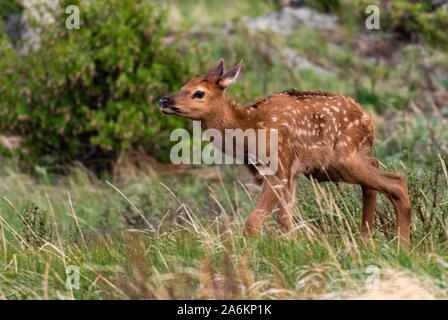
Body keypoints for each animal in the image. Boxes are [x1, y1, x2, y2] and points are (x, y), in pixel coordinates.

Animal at [159, 60, 412, 244]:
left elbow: (253, 222)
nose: (163, 100)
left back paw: (402, 246)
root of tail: (369, 122)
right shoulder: (289, 172)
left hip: (342, 159)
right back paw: (367, 239)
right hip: (343, 162)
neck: (249, 128)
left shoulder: (279, 167)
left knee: (396, 181)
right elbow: (284, 219)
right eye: (184, 84)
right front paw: (291, 248)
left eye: (199, 92)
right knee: (375, 176)